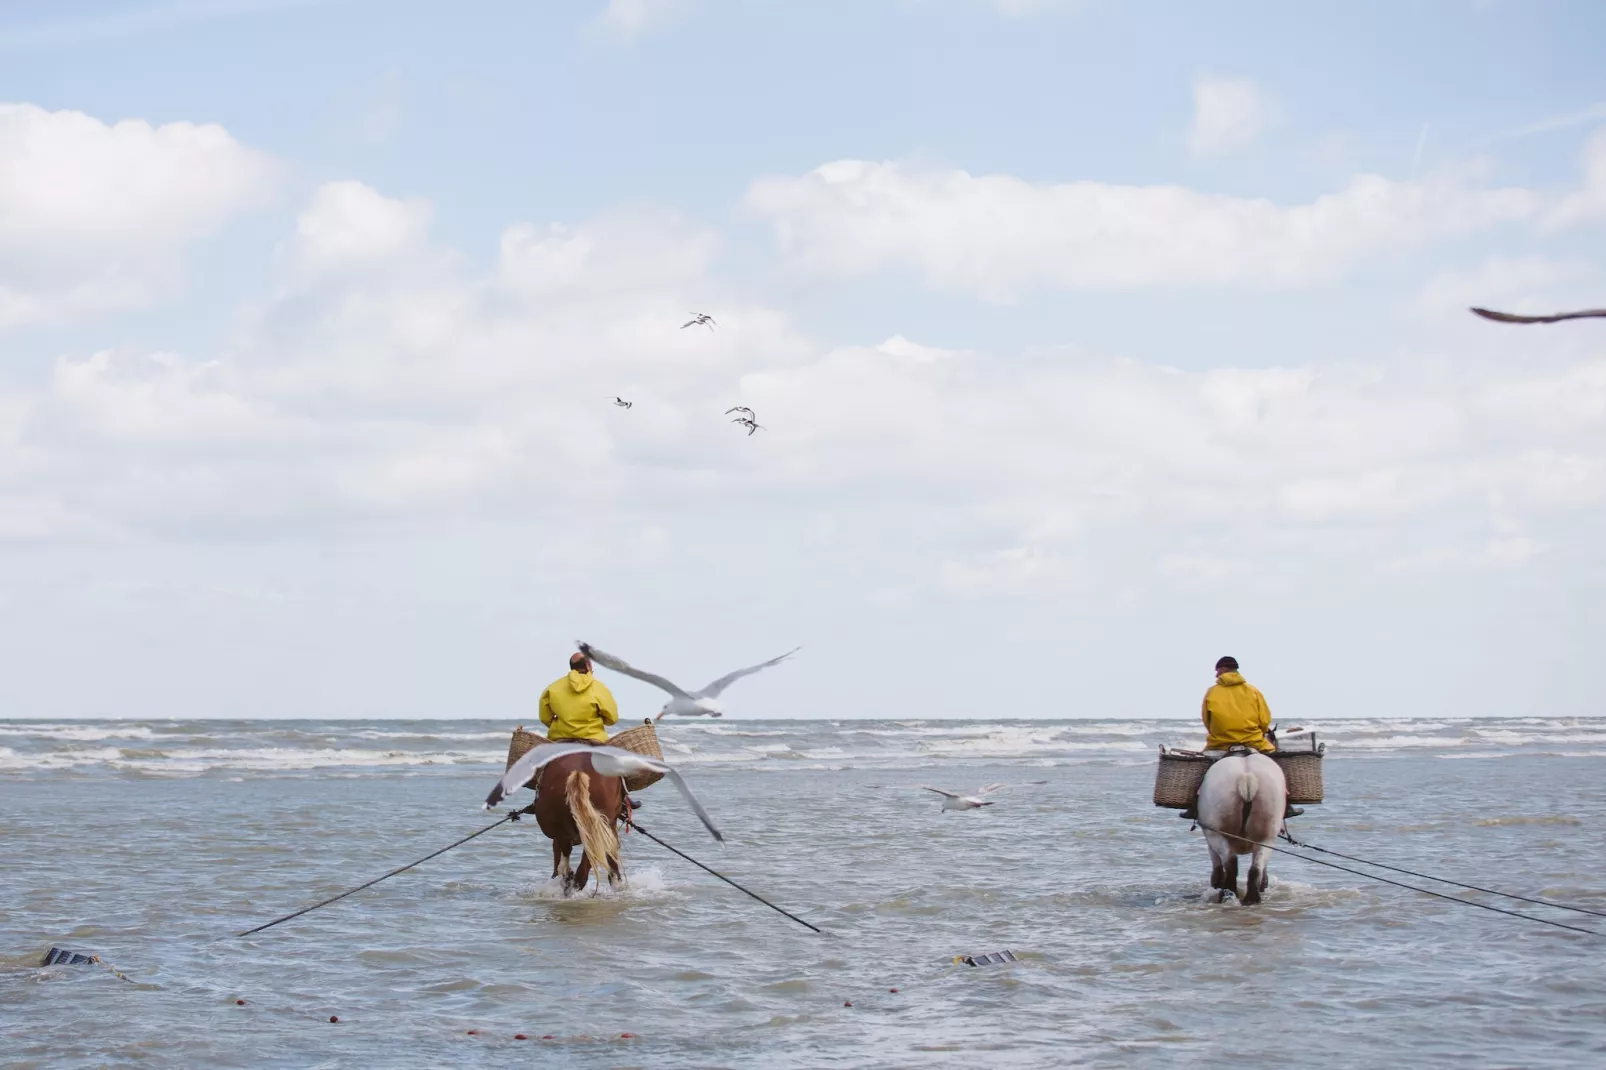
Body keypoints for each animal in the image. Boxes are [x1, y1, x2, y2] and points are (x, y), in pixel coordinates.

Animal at [1201, 748, 1284, 899]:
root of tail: (1246, 776)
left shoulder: (1210, 838)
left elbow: (1217, 868)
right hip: (1267, 834)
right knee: (1256, 867)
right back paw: (1251, 898)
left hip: (1216, 833)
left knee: (1231, 864)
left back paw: (1228, 893)